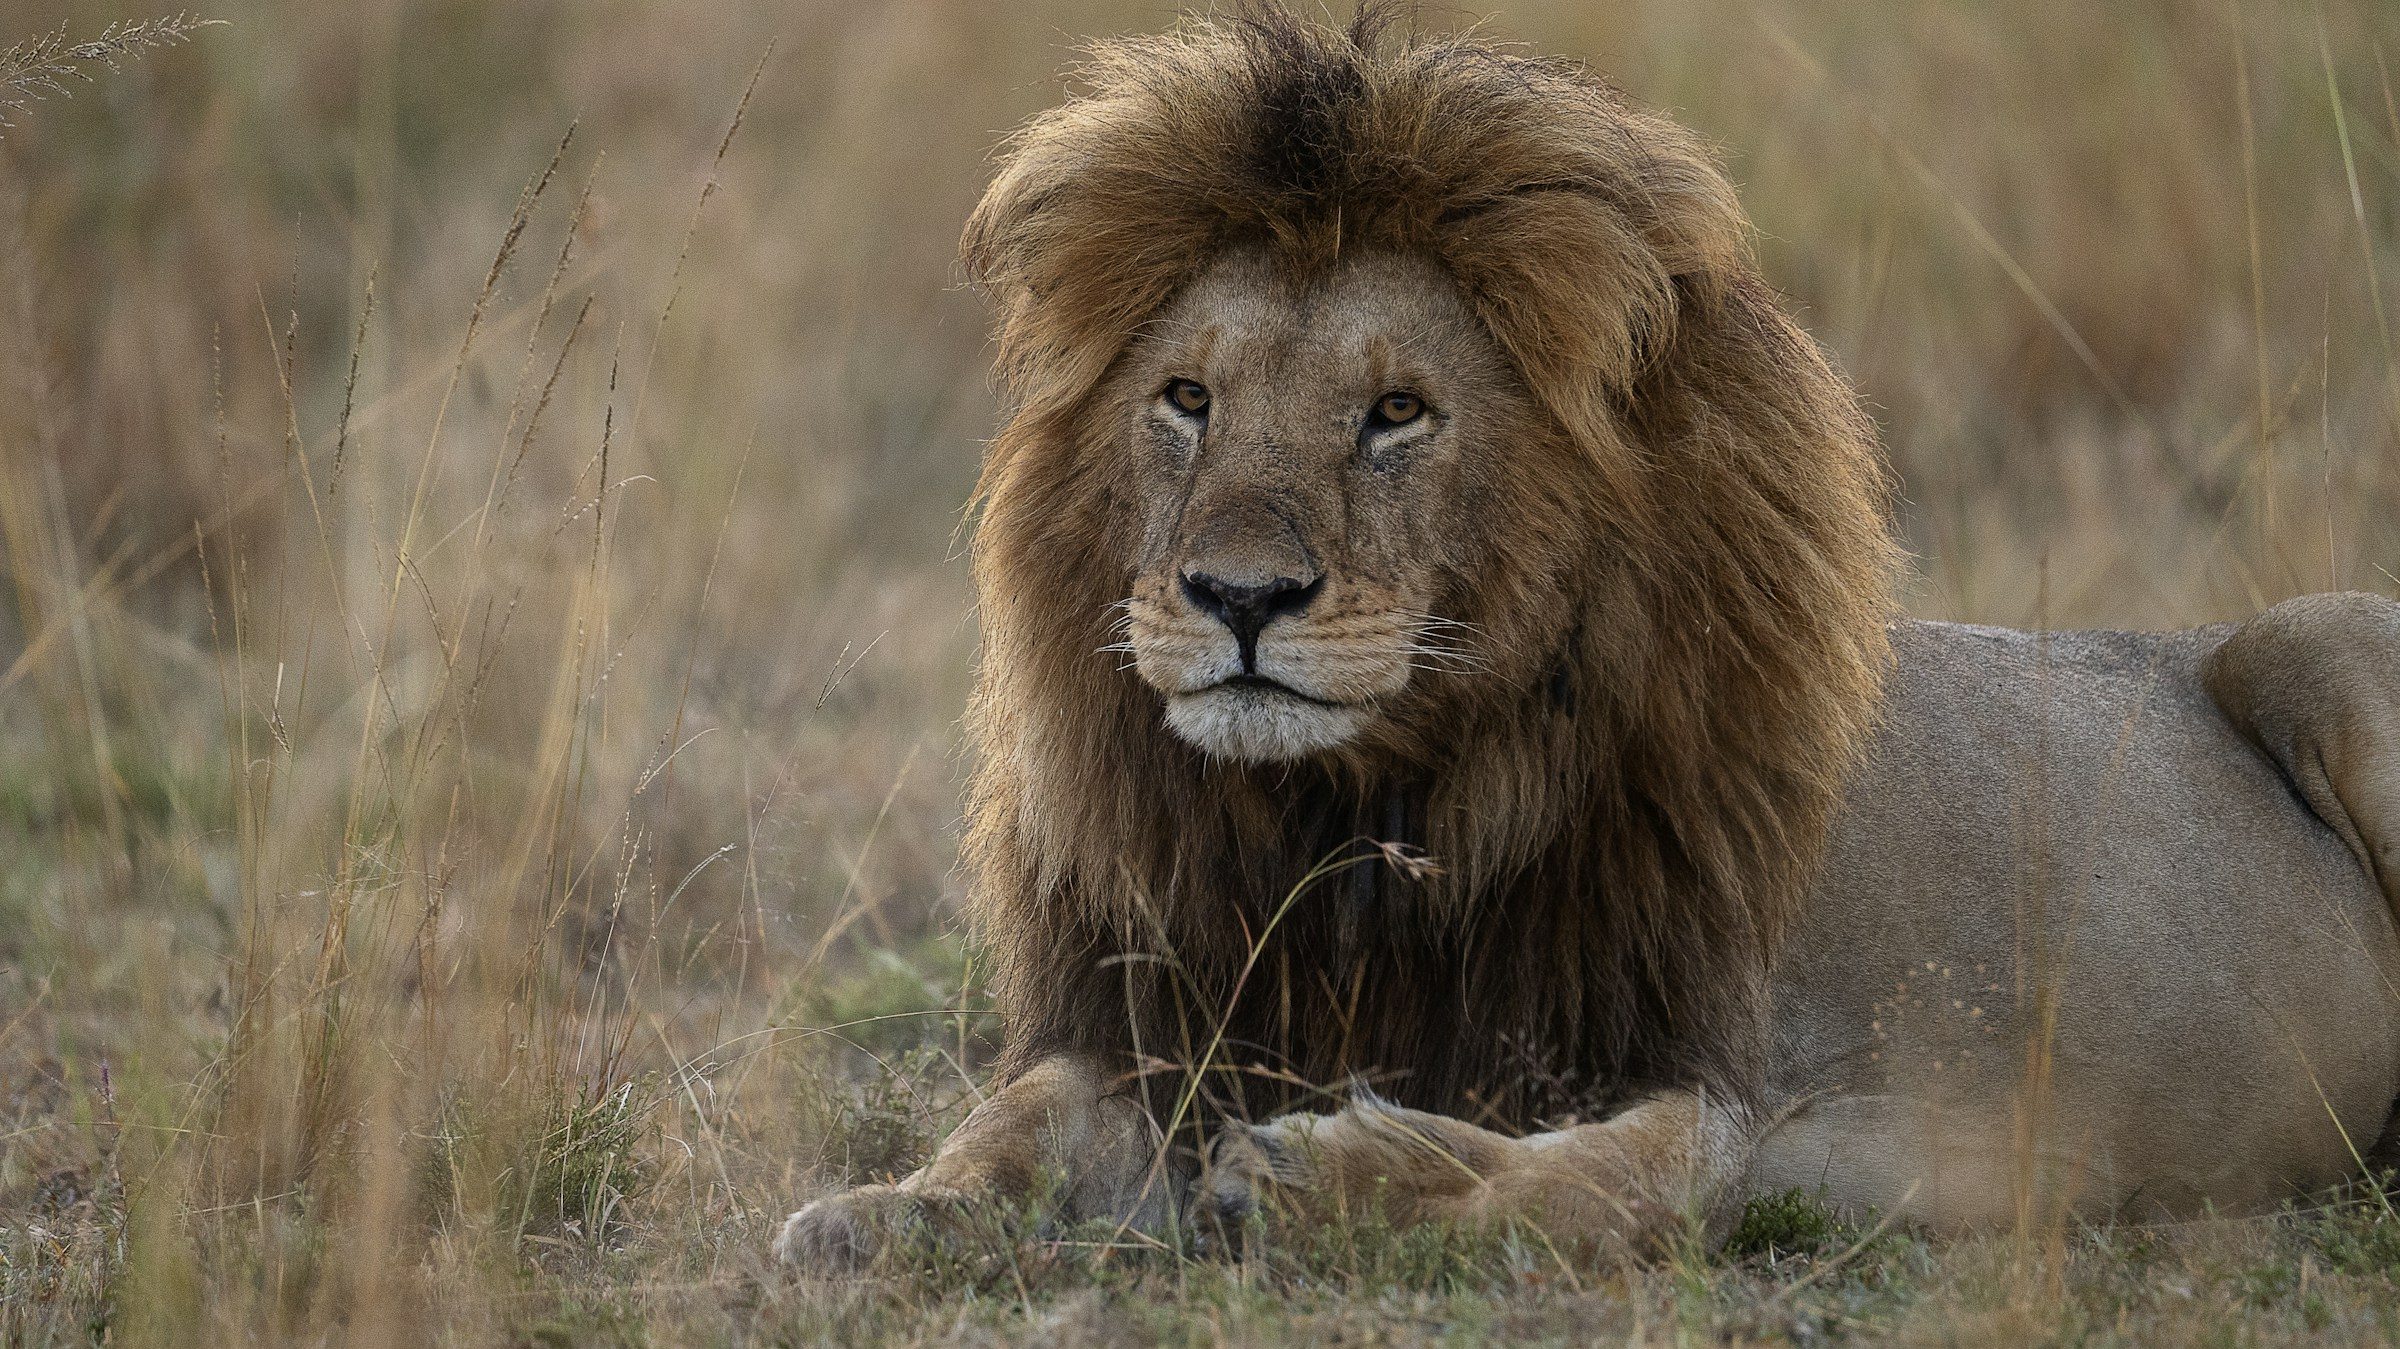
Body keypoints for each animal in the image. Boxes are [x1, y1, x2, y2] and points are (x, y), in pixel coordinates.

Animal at [775, 6, 2400, 1267]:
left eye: (1397, 411)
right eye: (1187, 398)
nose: (1237, 597)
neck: (1349, 820)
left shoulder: (1785, 1100)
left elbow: (1610, 1179)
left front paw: (1336, 1175)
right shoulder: (1169, 1014)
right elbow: (1011, 1116)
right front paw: (886, 1209)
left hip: (2332, 639)